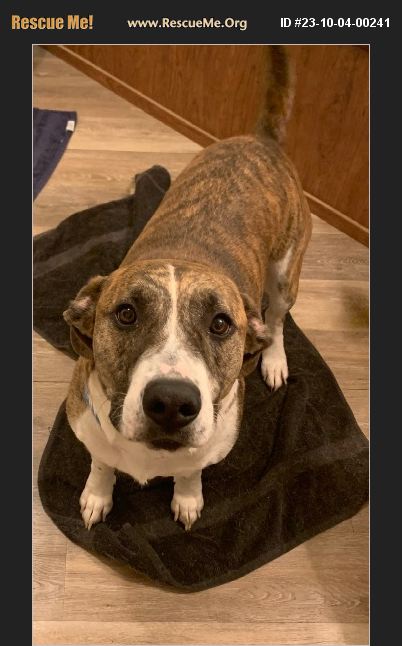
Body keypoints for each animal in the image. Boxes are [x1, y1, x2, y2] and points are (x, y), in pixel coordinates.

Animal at [63, 46, 312, 531]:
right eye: (126, 313)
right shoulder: (86, 424)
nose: (171, 402)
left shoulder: (212, 444)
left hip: (285, 275)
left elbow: (192, 470)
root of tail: (261, 142)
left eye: (221, 324)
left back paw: (274, 359)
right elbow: (102, 462)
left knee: (276, 320)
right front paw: (98, 493)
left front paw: (188, 498)